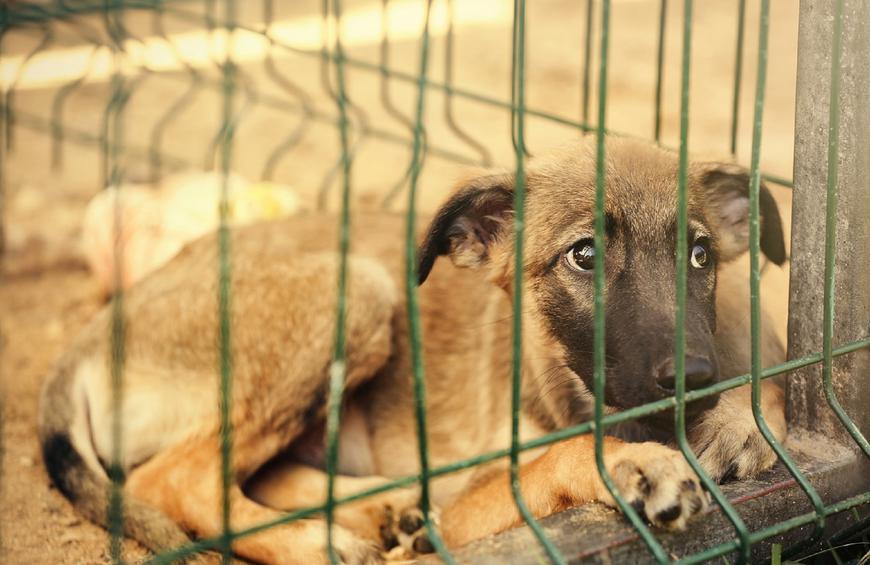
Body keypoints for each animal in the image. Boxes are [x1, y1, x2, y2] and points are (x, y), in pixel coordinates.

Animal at [39, 138, 792, 564]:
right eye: (584, 255)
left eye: (700, 255)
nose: (695, 376)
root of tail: (90, 338)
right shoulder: (476, 508)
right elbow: (556, 457)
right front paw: (629, 465)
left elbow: (774, 385)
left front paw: (742, 422)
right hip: (355, 291)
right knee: (173, 477)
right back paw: (322, 542)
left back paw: (387, 509)